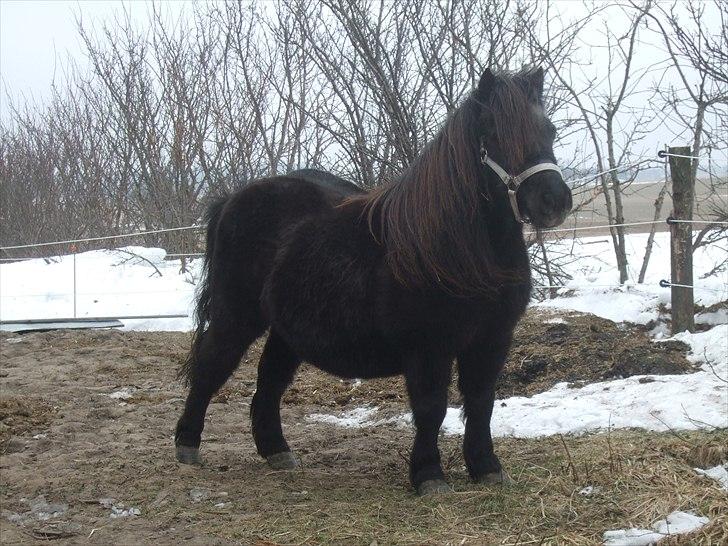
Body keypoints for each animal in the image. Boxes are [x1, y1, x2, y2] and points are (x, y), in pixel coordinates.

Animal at [176, 67, 576, 492]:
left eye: (549, 130)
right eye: (494, 134)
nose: (553, 200)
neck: (460, 252)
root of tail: (233, 199)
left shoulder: (492, 340)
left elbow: (481, 402)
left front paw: (486, 467)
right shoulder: (428, 347)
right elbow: (432, 408)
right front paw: (428, 474)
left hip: (286, 329)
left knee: (270, 381)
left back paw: (276, 451)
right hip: (237, 317)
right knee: (211, 366)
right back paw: (187, 445)